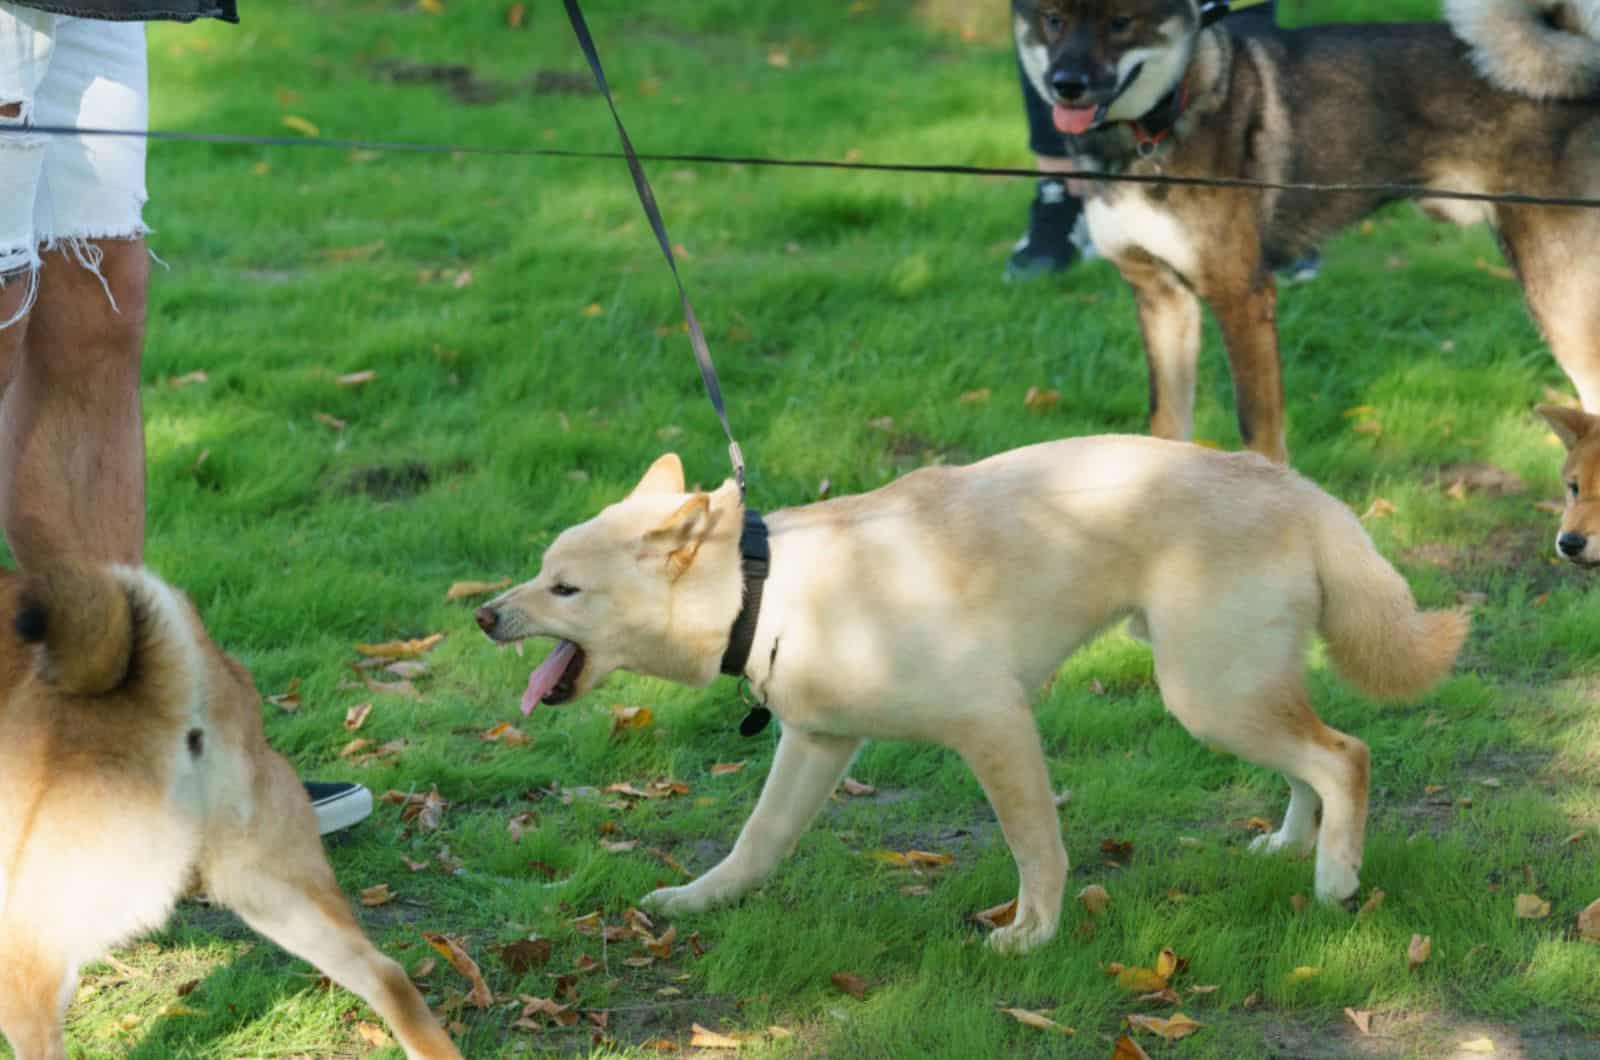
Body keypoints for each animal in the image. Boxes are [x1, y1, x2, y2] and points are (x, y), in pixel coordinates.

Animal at [480, 435, 1465, 960]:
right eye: (541, 571)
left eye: (565, 589)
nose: (485, 615)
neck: (766, 588)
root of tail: (1291, 484)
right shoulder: (817, 743)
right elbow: (758, 841)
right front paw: (701, 900)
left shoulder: (995, 727)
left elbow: (1038, 849)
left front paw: (1033, 936)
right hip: (1229, 687)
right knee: (1313, 758)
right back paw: (1296, 845)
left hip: (1207, 692)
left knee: (1345, 755)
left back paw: (1336, 876)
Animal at [1017, 0, 1593, 464]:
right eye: (1053, 20)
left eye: (1120, 22)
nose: (1066, 85)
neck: (1163, 120)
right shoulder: (1161, 298)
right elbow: (1166, 426)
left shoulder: (1242, 298)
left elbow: (1259, 435)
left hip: (1559, 295)